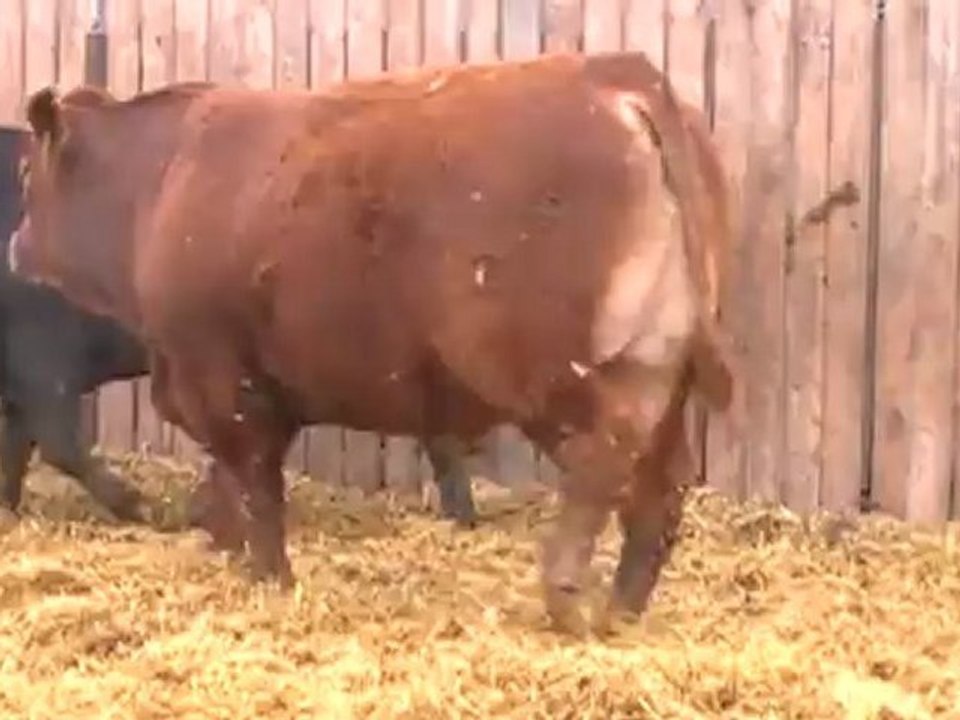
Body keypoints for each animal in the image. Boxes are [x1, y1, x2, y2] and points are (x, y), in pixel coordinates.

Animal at [10, 50, 735, 634]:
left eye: (26, 179)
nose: (14, 245)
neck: (158, 180)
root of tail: (616, 74)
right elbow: (233, 486)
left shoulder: (218, 375)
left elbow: (254, 483)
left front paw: (270, 578)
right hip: (660, 374)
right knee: (659, 486)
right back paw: (623, 609)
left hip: (564, 373)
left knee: (602, 463)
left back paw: (562, 593)